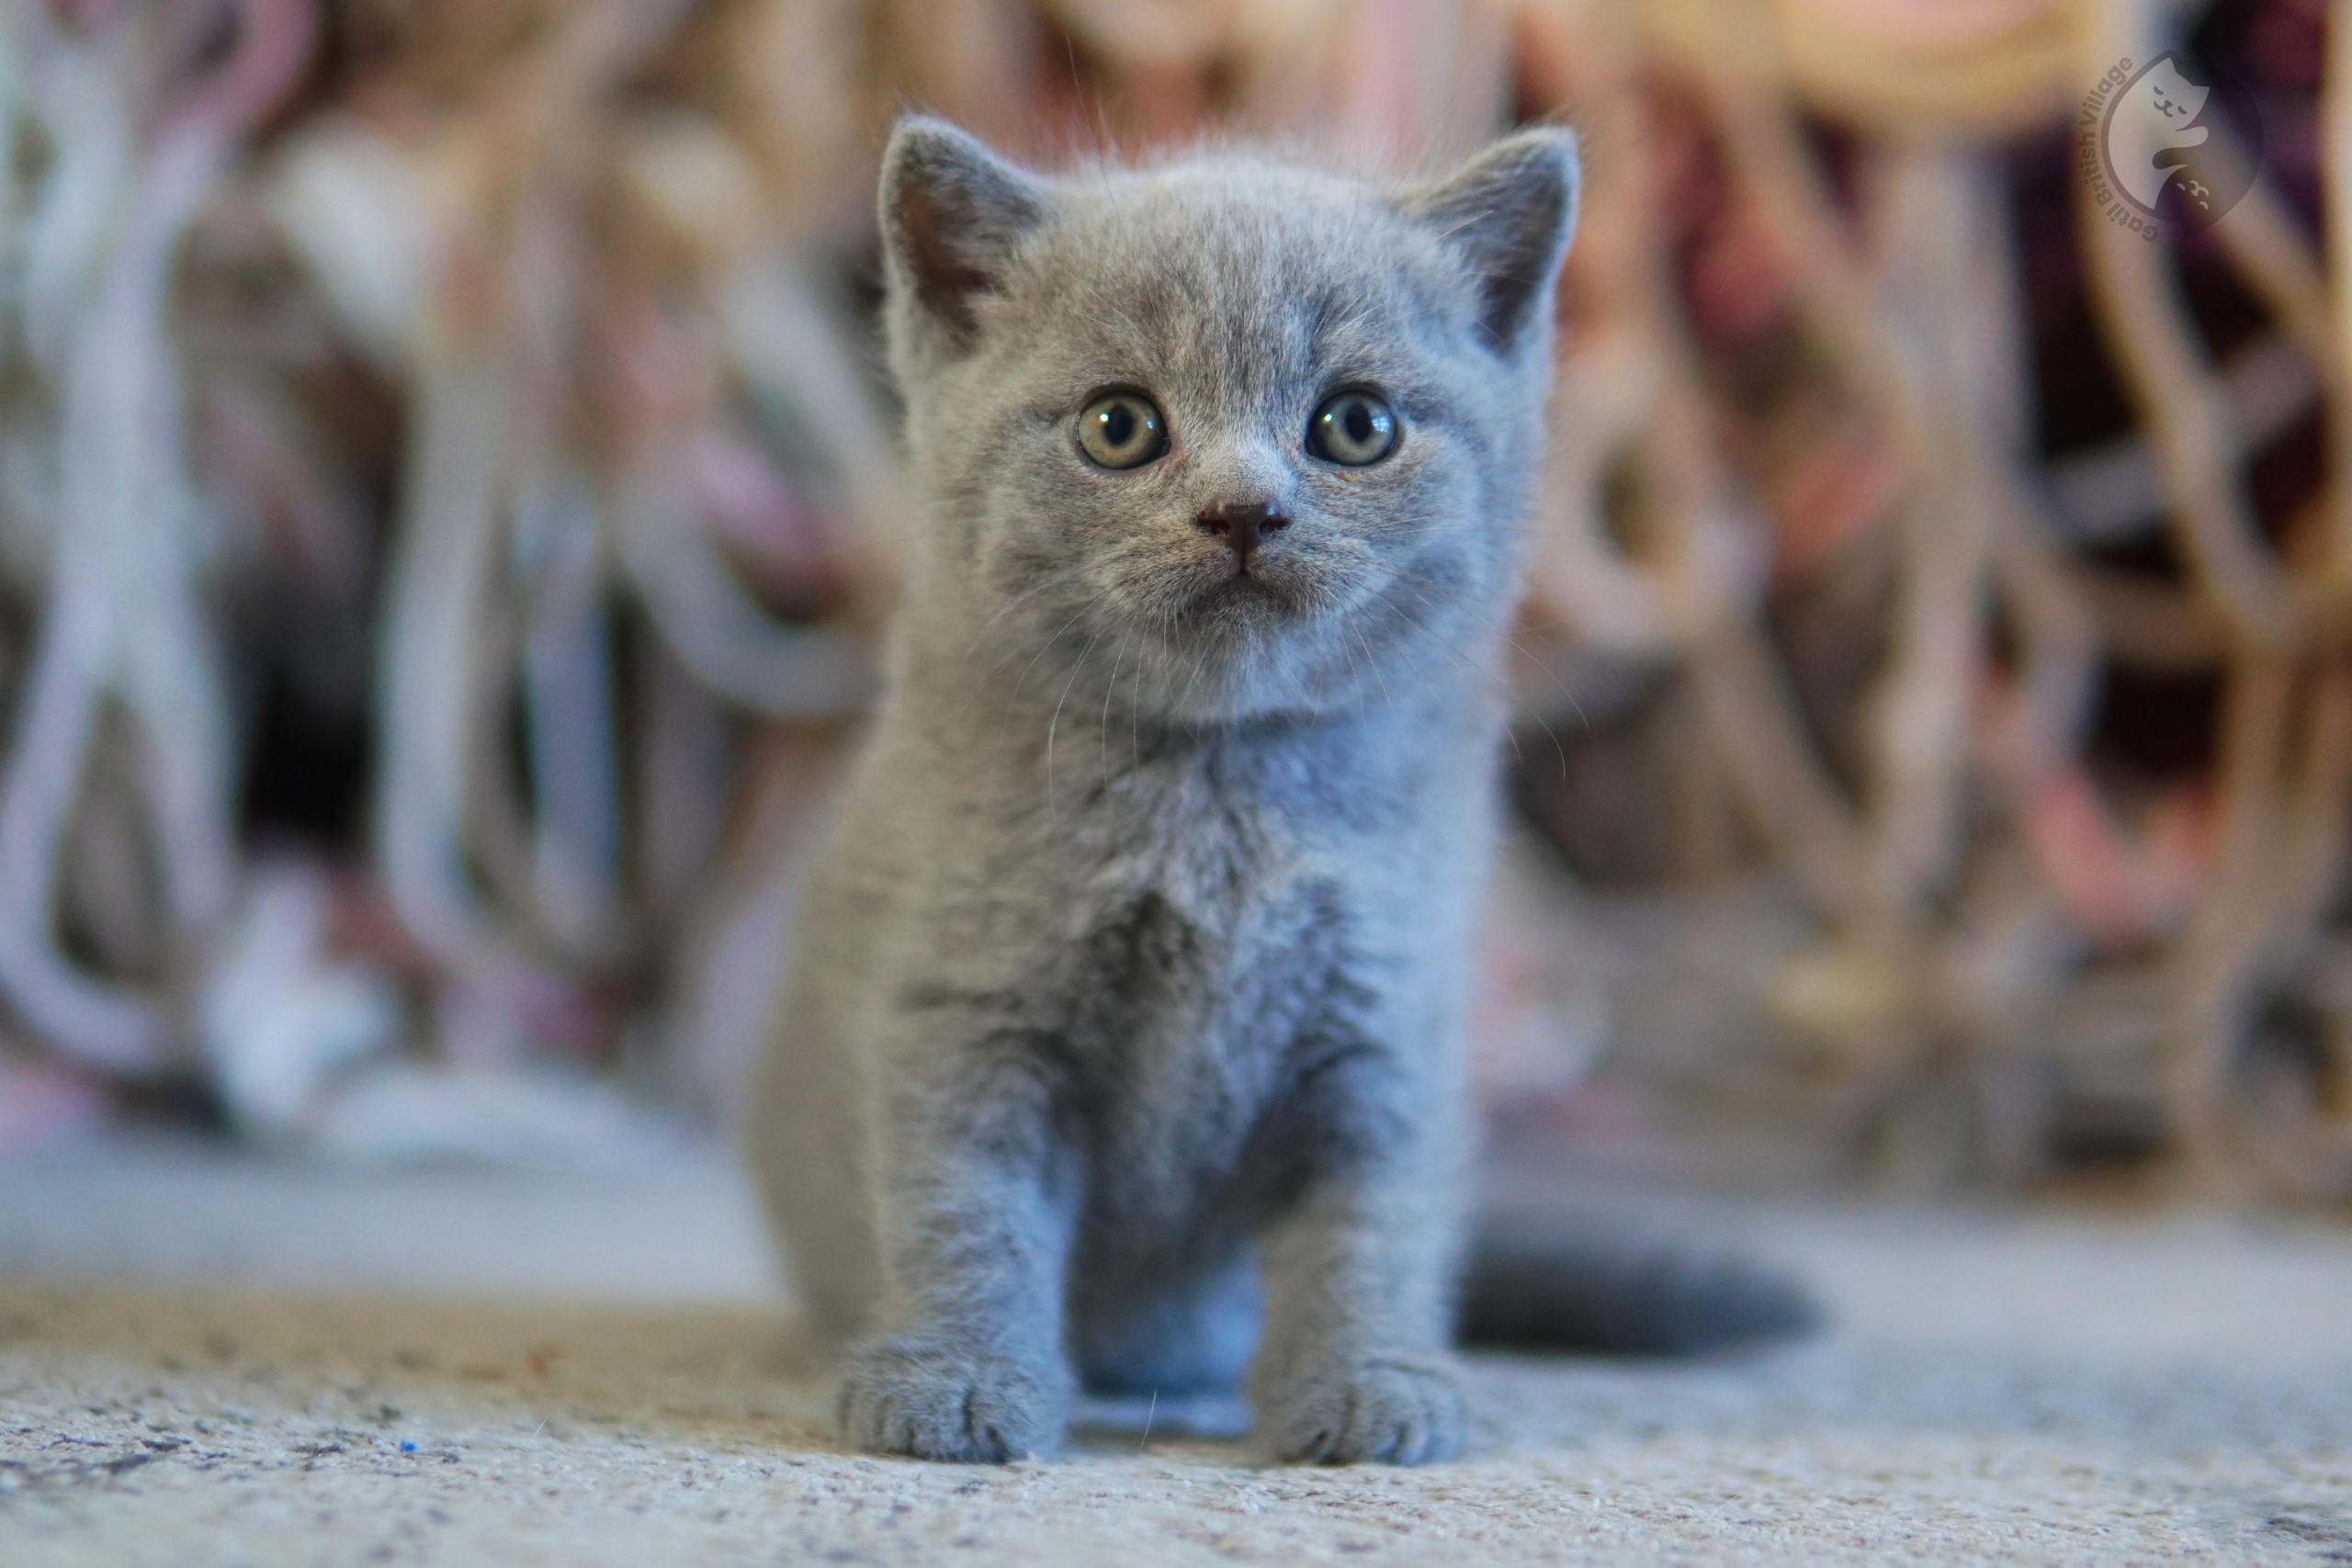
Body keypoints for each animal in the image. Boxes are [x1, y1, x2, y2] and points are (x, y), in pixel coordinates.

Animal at [742, 116, 1806, 1466]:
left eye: (1355, 424)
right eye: (1119, 426)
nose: (1244, 510)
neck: (1221, 789)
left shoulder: (1382, 1020)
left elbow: (1370, 1226)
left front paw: (1367, 1388)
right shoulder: (969, 1005)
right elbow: (965, 1206)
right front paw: (957, 1380)